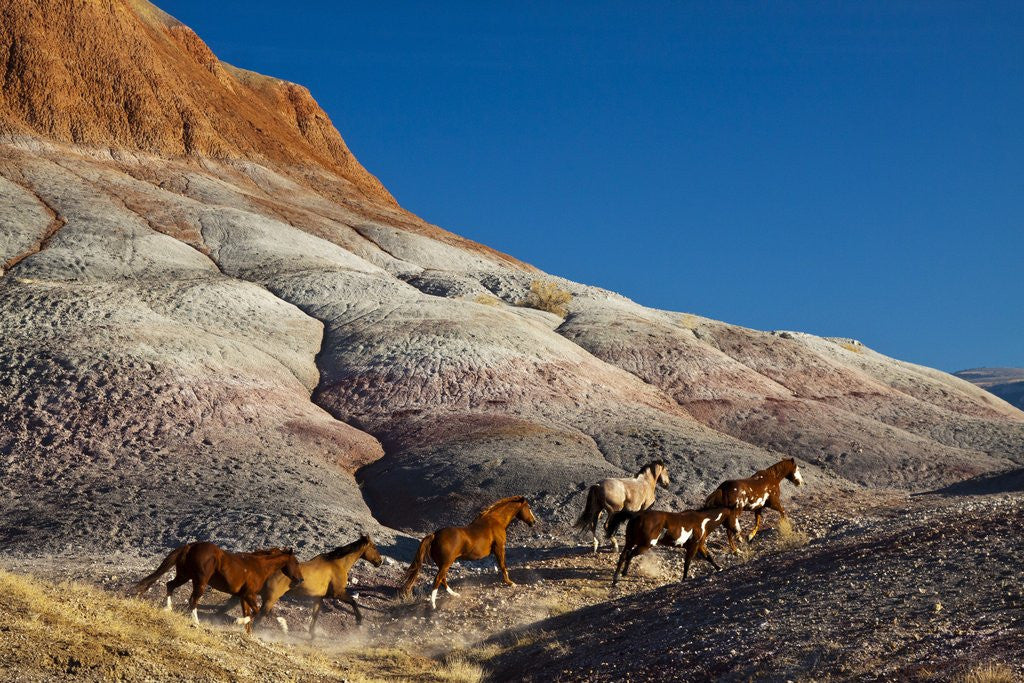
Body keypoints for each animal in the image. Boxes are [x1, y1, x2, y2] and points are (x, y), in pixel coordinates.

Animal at [131, 542, 303, 633]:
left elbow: (251, 614)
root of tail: (190, 546)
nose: (300, 579)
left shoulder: (243, 597)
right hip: (199, 581)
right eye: (296, 562)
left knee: (170, 585)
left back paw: (168, 608)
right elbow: (257, 612)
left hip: (184, 576)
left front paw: (248, 633)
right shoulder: (249, 595)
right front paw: (237, 622)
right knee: (192, 600)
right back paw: (196, 622)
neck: (258, 567)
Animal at [253, 534, 383, 638]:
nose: (380, 562)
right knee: (258, 618)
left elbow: (315, 616)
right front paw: (359, 621)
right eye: (374, 547)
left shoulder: (318, 598)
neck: (338, 564)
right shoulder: (337, 593)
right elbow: (353, 602)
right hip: (270, 599)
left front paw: (312, 635)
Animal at [400, 496, 537, 609]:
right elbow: (503, 566)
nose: (534, 522)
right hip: (446, 563)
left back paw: (454, 594)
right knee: (438, 579)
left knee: (442, 579)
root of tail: (434, 535)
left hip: (443, 564)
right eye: (529, 507)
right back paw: (433, 604)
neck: (496, 521)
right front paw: (510, 583)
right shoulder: (499, 548)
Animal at [606, 506, 738, 585]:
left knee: (623, 556)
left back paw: (617, 578)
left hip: (630, 541)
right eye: (735, 516)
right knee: (629, 555)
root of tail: (636, 515)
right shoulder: (693, 546)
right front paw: (684, 578)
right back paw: (620, 576)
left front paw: (719, 568)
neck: (703, 521)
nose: (737, 530)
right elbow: (687, 562)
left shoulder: (699, 545)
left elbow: (708, 557)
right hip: (645, 545)